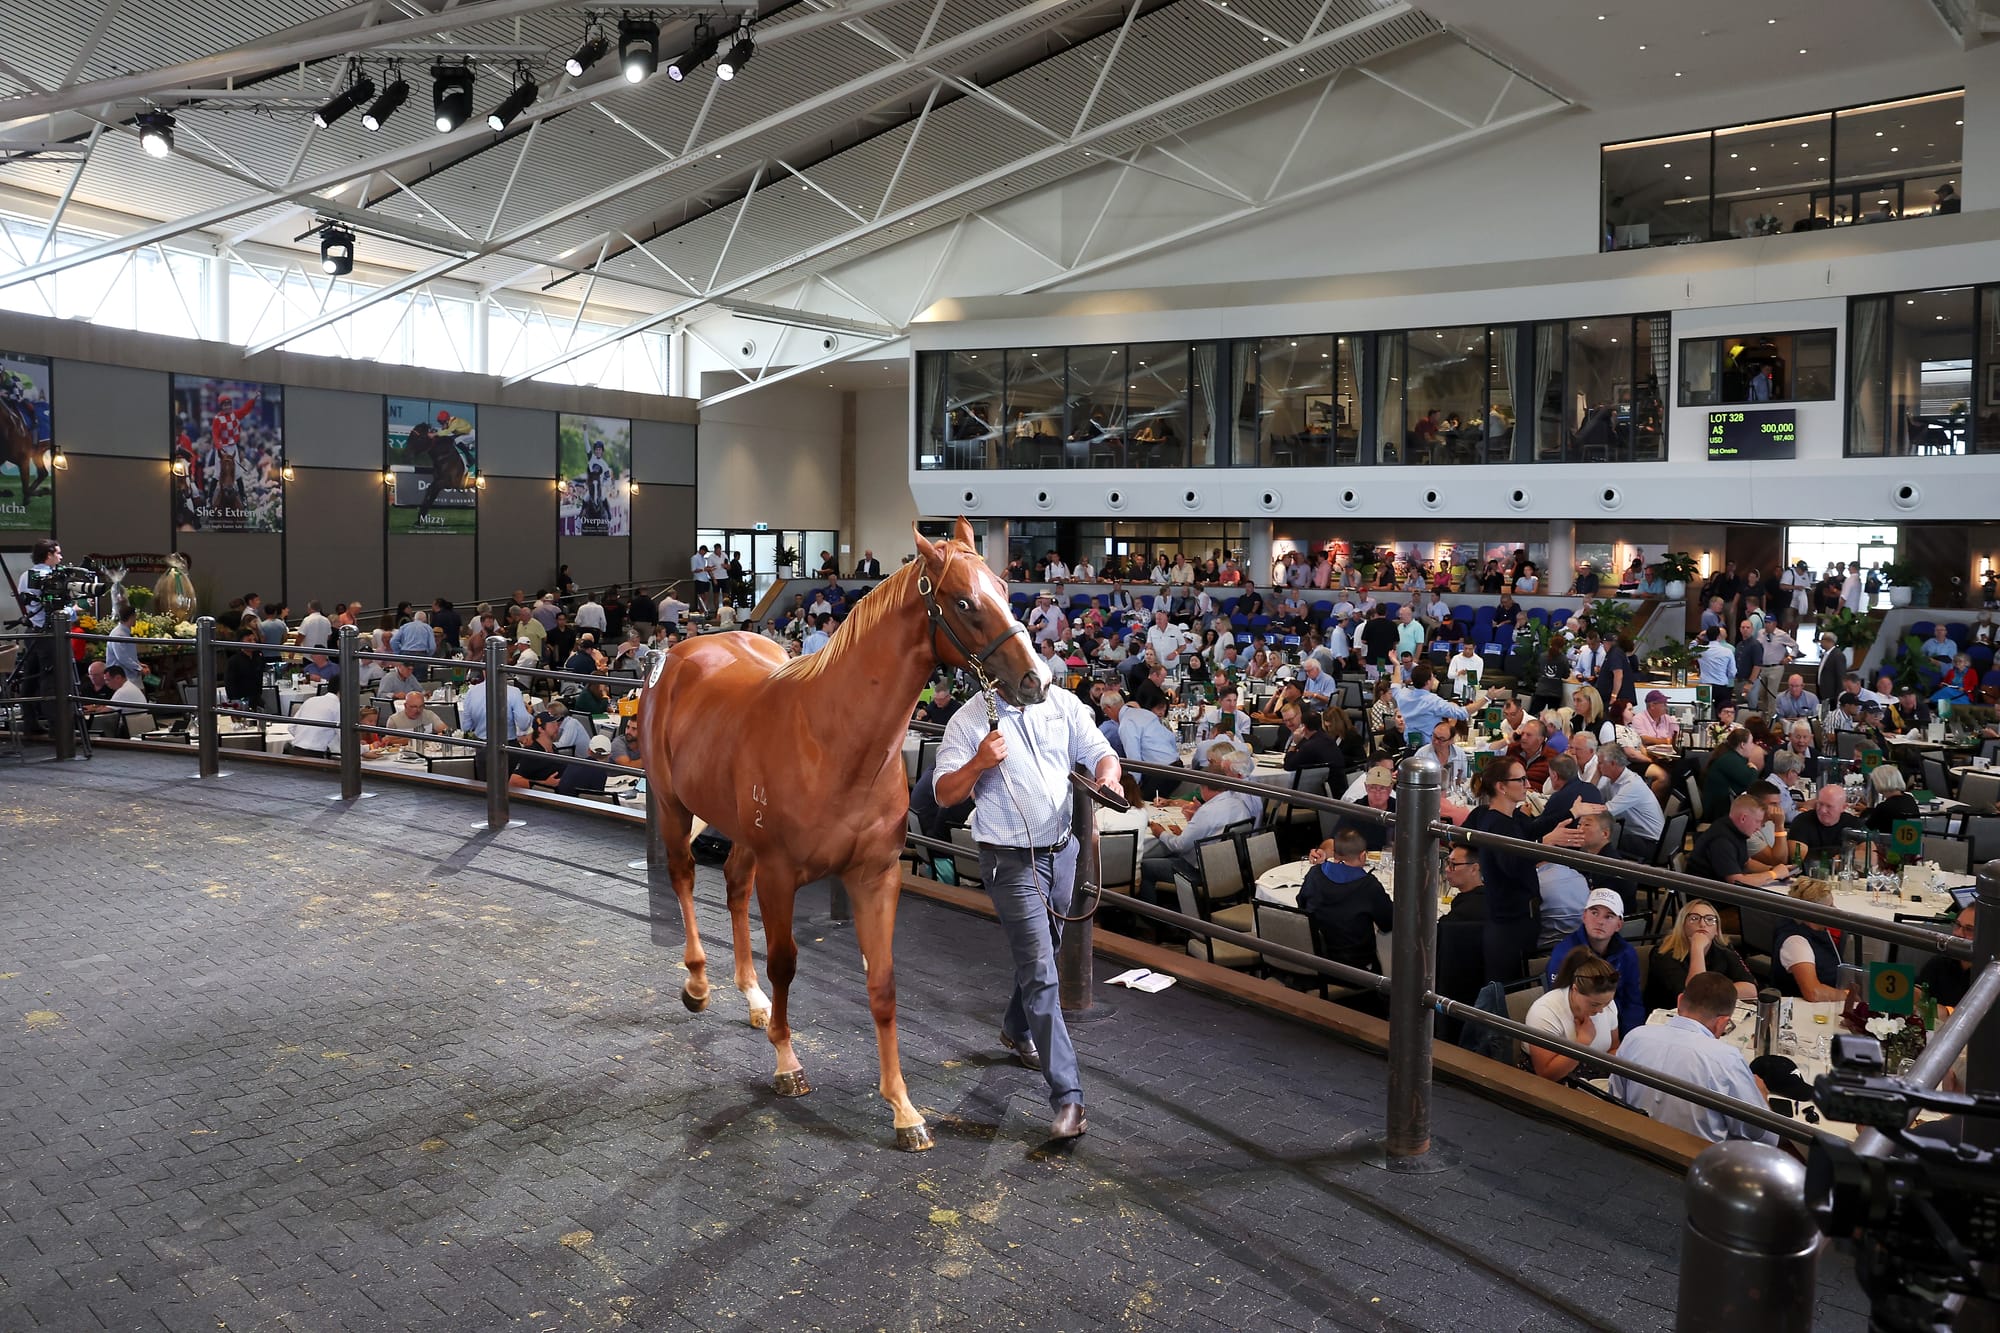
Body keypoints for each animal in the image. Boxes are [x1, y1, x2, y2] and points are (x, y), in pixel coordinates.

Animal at [640, 512, 1048, 1144]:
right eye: (964, 602)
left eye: (1007, 591)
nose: (1036, 679)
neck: (831, 739)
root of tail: (681, 653)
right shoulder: (781, 873)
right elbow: (786, 963)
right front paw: (788, 1064)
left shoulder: (875, 876)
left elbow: (882, 984)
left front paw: (903, 1109)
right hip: (670, 803)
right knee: (684, 877)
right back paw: (700, 985)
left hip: (743, 837)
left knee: (732, 884)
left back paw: (751, 998)